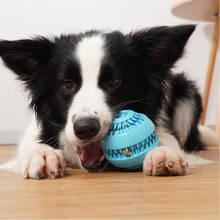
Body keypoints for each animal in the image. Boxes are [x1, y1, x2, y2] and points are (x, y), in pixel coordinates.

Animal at [0, 24, 217, 179]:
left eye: (114, 82)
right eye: (67, 83)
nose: (86, 128)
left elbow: (168, 139)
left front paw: (163, 152)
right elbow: (31, 145)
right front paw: (42, 154)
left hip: (187, 91)